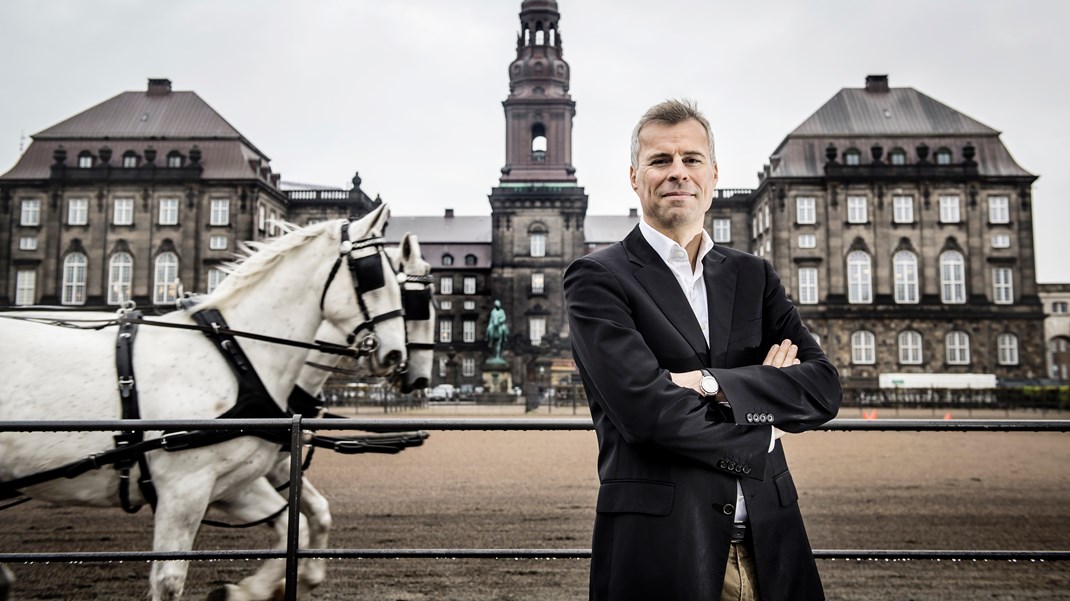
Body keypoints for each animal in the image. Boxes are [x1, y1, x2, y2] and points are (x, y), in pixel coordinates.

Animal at [0, 203, 406, 594]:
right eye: (375, 273)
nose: (397, 355)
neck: (235, 355)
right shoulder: (184, 490)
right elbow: (169, 580)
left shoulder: (234, 483)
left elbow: (299, 526)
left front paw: (250, 591)